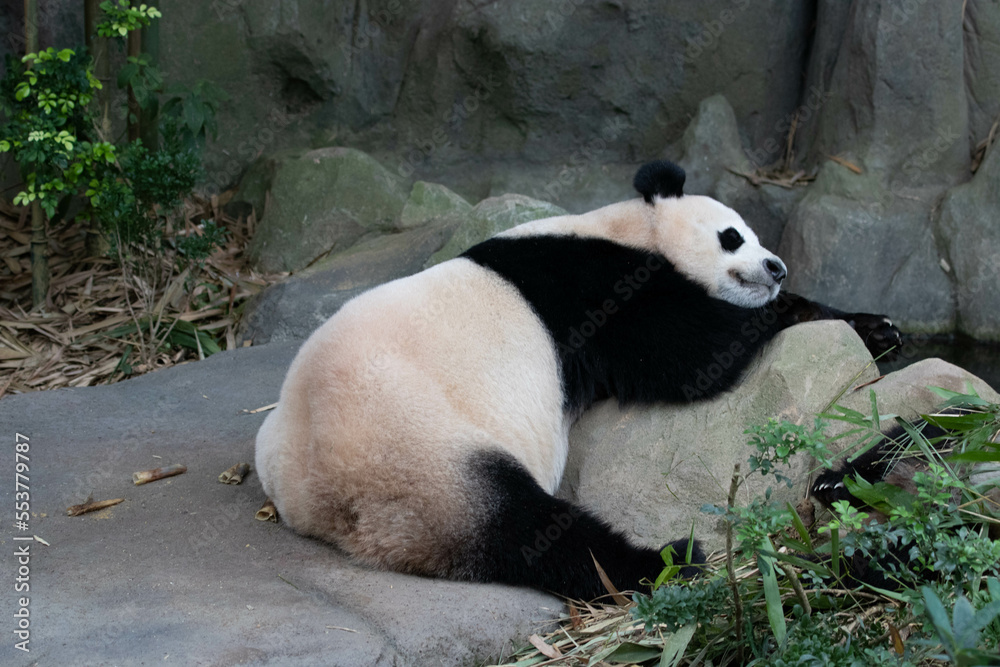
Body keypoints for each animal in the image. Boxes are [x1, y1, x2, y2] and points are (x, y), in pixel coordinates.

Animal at [254, 160, 902, 601]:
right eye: (732, 235)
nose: (776, 267)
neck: (627, 226)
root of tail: (321, 501)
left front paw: (877, 329)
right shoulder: (595, 287)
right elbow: (691, 354)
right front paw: (780, 315)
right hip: (419, 449)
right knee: (529, 530)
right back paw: (665, 562)